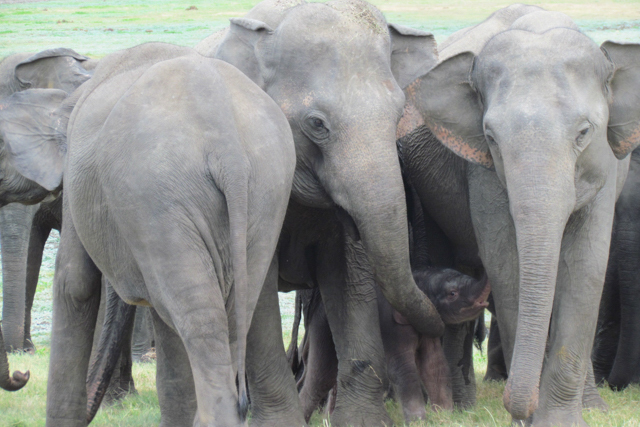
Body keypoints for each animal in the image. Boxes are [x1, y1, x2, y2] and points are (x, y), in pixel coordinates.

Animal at [0, 41, 297, 427]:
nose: (22, 374)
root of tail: (227, 144)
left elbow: (74, 283)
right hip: (265, 190)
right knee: (231, 313)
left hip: (157, 194)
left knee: (199, 321)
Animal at [397, 4, 640, 425]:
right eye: (491, 137)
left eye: (584, 132)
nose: (517, 407)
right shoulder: (481, 167)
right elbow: (506, 263)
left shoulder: (606, 165)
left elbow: (586, 264)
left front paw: (559, 419)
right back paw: (460, 407)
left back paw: (593, 407)